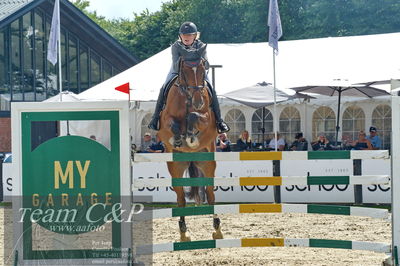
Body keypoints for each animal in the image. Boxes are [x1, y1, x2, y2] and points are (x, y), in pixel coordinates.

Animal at [158, 48, 223, 243]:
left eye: (203, 69)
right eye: (185, 71)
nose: (198, 101)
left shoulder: (207, 117)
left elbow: (195, 116)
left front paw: (191, 136)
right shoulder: (166, 119)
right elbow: (173, 124)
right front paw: (179, 138)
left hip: (208, 164)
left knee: (210, 195)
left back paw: (217, 229)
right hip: (176, 168)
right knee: (181, 199)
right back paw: (183, 232)